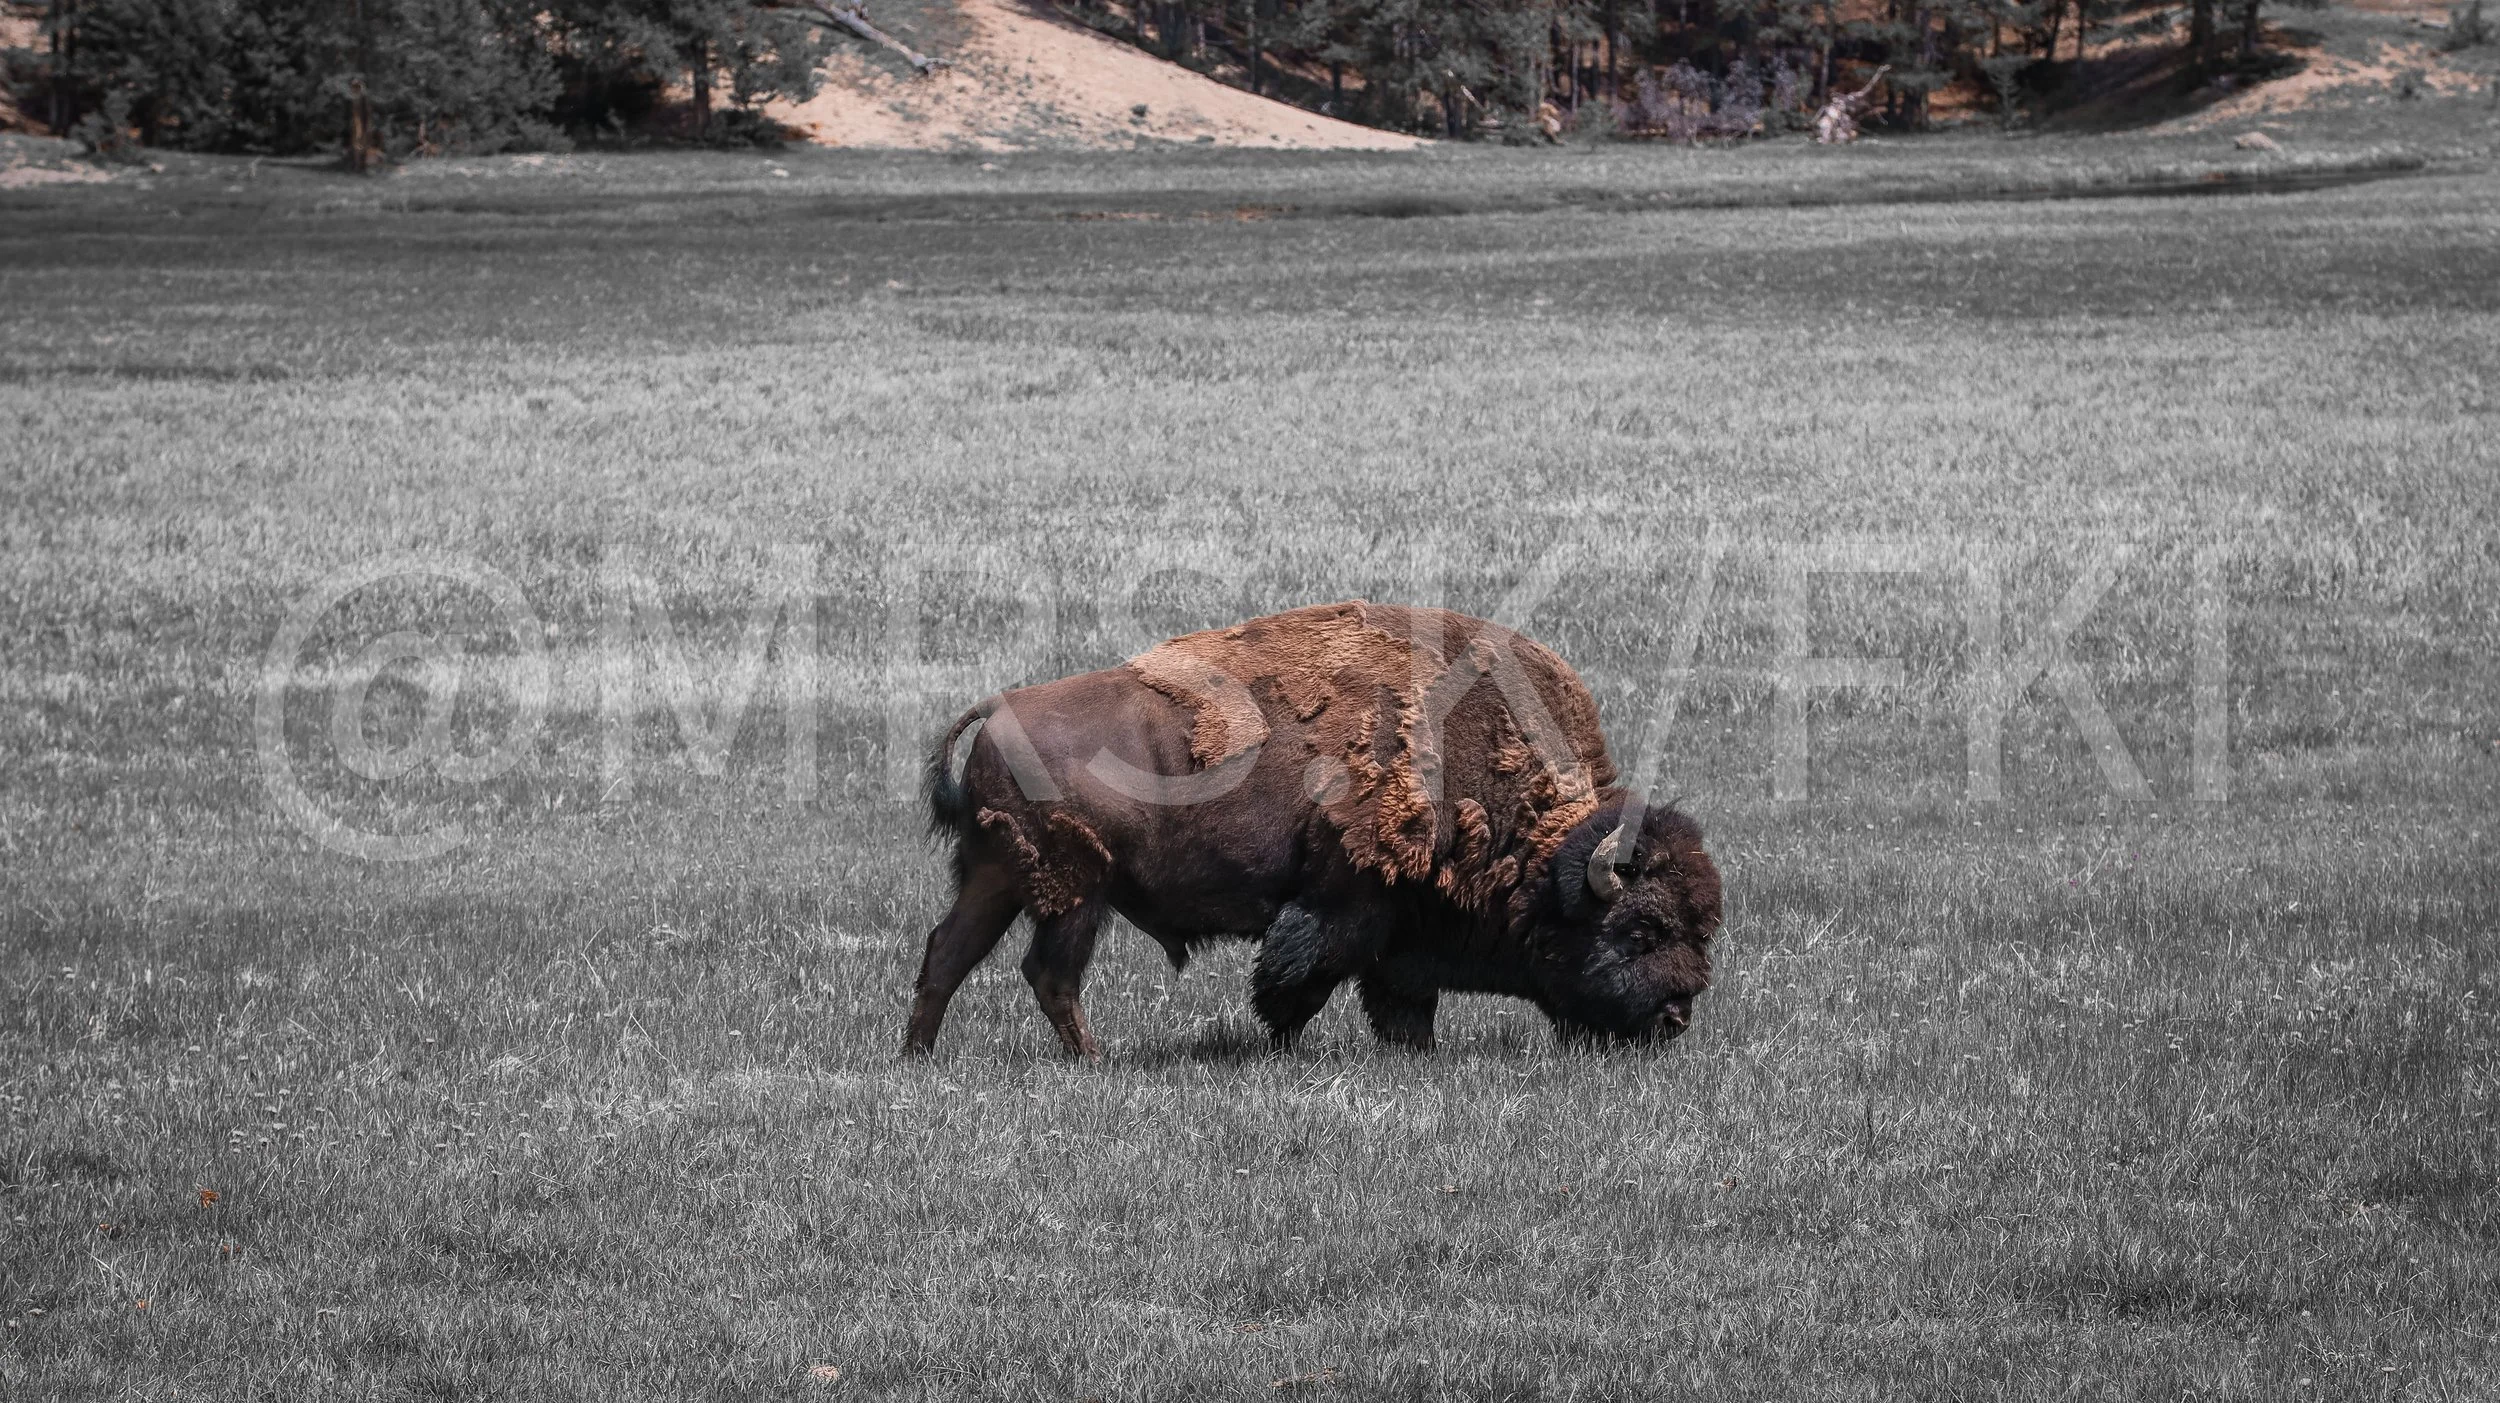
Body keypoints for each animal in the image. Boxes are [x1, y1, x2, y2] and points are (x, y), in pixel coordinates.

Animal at [905, 601, 1722, 1058]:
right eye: (1642, 930)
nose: (1676, 1015)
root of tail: (999, 710)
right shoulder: (1345, 904)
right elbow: (1297, 978)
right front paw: (1284, 1046)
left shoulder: (1401, 932)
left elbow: (1398, 999)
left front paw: (1412, 1052)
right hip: (1077, 894)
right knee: (1048, 974)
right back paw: (1094, 1060)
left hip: (997, 880)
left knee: (948, 953)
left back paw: (920, 1056)